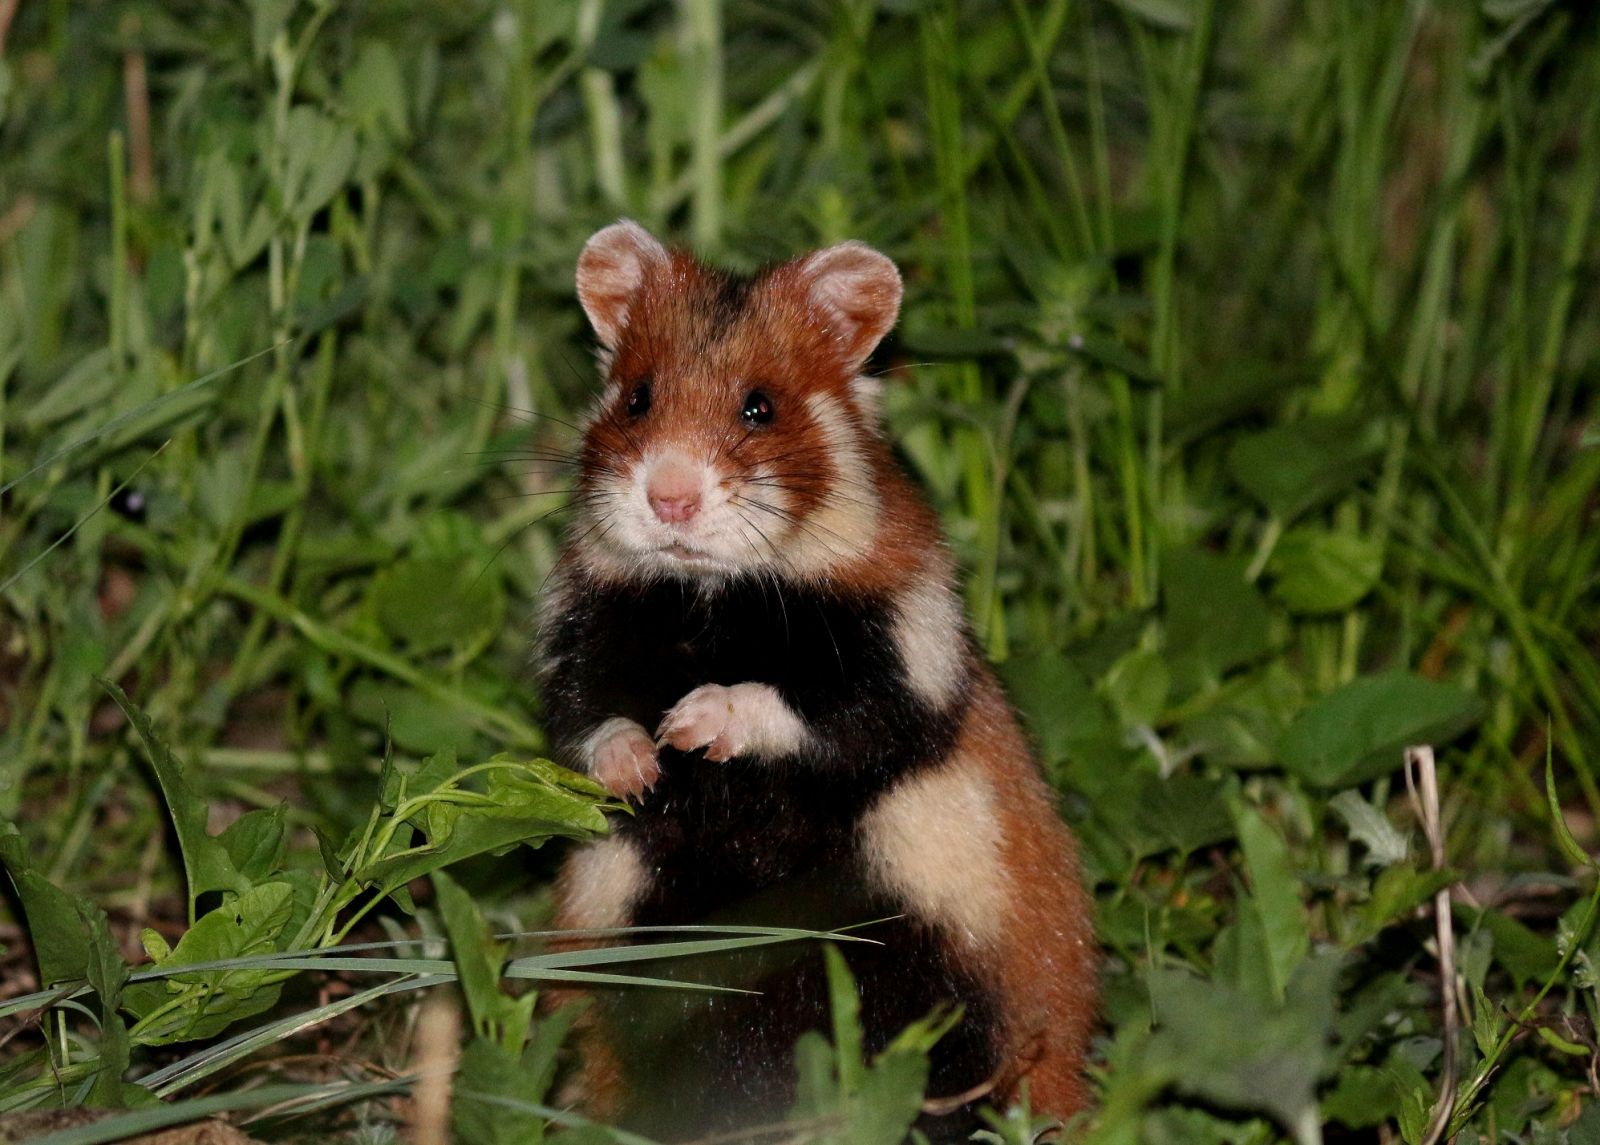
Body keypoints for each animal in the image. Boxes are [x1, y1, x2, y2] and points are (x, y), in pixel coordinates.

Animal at [544, 220, 1094, 1138]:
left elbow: (812, 711)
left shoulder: (904, 657)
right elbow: (586, 721)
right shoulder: (580, 637)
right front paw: (642, 765)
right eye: (637, 399)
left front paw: (691, 722)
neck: (711, 592)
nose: (670, 499)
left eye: (759, 406)